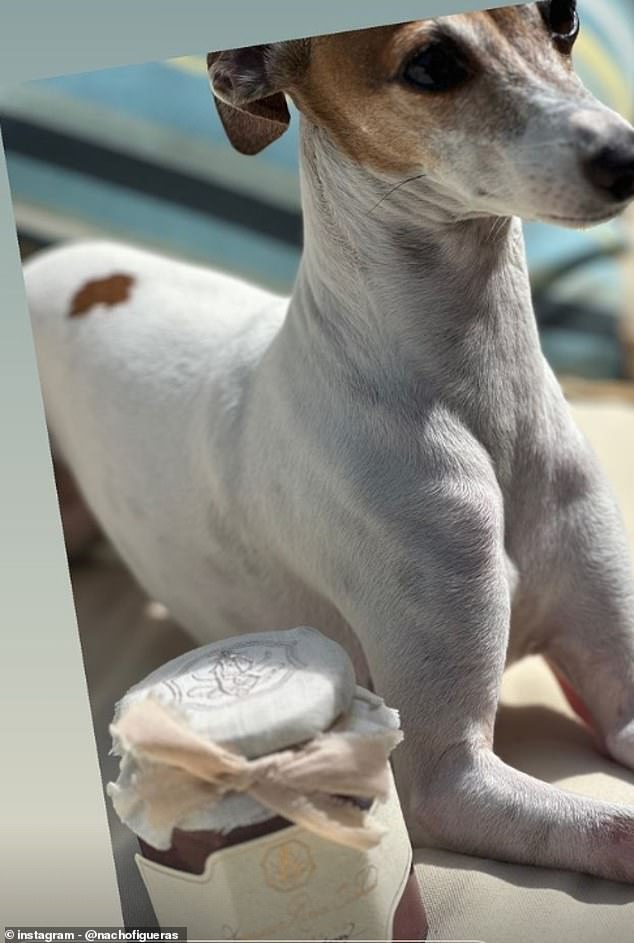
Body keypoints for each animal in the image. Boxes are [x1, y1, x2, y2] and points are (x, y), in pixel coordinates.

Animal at [22, 1, 632, 884]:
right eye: (431, 64)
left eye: (565, 17)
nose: (626, 156)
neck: (481, 399)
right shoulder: (452, 779)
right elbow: (609, 824)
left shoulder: (617, 688)